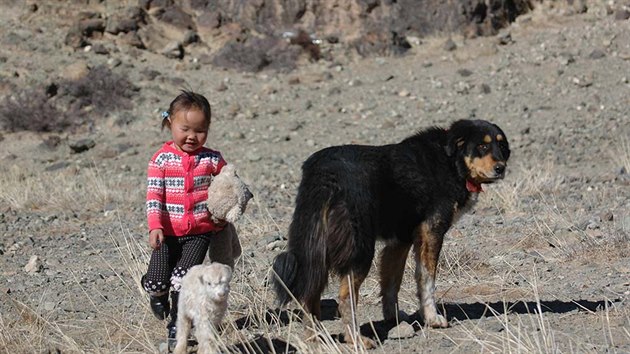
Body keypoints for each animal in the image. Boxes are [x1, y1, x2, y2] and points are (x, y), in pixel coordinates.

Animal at [272, 119, 508, 346]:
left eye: (501, 146)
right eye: (482, 146)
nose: (501, 168)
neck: (451, 161)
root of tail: (324, 172)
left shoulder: (399, 240)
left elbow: (391, 282)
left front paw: (393, 317)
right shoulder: (431, 231)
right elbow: (426, 280)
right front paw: (432, 318)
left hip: (315, 249)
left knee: (310, 295)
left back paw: (313, 339)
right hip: (359, 249)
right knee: (345, 298)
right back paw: (355, 339)